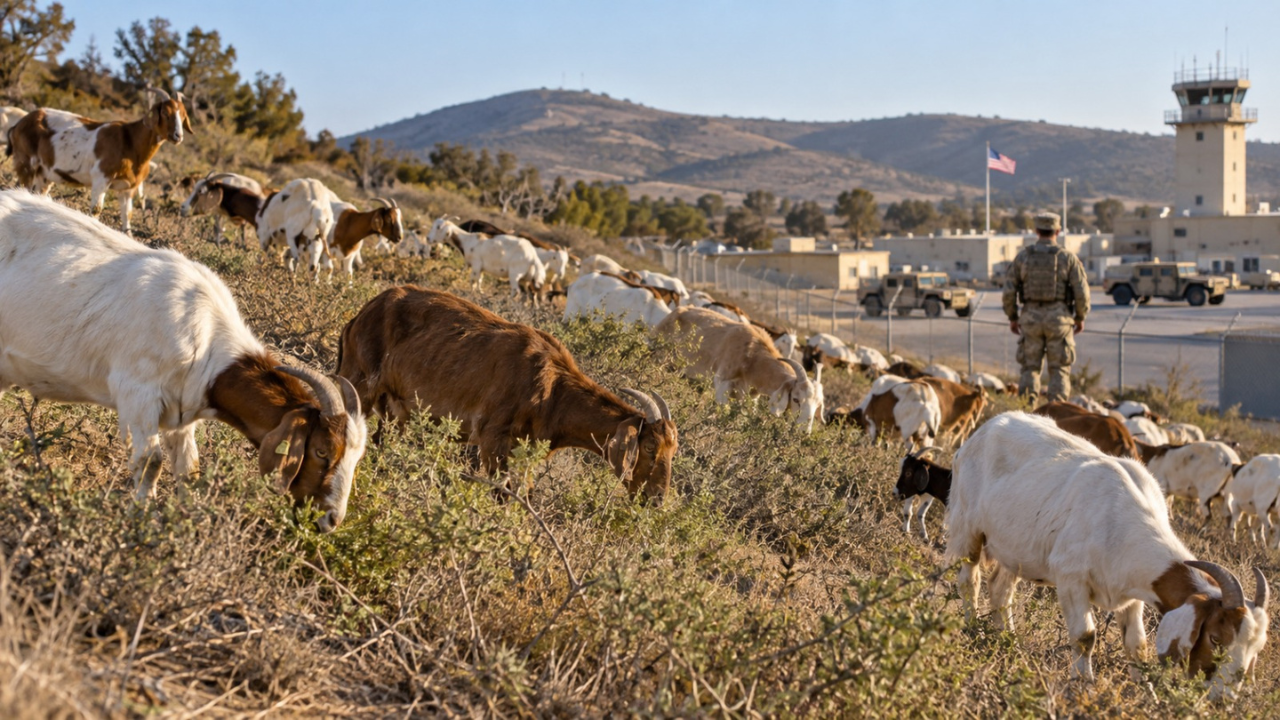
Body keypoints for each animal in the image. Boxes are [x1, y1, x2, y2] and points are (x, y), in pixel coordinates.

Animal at [0, 190, 366, 531]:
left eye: (354, 458)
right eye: (322, 451)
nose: (331, 520)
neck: (206, 341)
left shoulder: (182, 412)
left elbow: (189, 470)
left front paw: (185, 523)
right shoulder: (137, 395)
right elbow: (151, 464)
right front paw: (138, 525)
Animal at [9, 87, 192, 234]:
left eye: (183, 116)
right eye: (165, 113)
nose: (178, 136)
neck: (131, 142)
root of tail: (20, 123)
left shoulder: (127, 189)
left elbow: (127, 216)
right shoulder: (101, 178)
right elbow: (96, 210)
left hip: (44, 174)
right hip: (25, 162)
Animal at [336, 285, 678, 499]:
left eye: (672, 451)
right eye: (649, 447)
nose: (656, 499)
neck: (554, 391)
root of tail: (363, 313)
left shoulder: (525, 454)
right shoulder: (492, 440)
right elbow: (501, 493)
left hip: (395, 411)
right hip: (359, 383)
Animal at [657, 307, 823, 432]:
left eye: (817, 404)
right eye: (796, 399)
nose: (803, 431)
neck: (753, 356)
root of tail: (675, 312)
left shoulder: (750, 396)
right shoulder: (722, 384)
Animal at [948, 412, 1268, 697]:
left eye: (1255, 648)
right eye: (1215, 638)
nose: (1223, 696)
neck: (1122, 520)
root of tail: (986, 428)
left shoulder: (1133, 592)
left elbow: (1137, 645)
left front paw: (1147, 693)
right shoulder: (1071, 579)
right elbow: (1085, 637)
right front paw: (1084, 686)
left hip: (1015, 549)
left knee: (1001, 589)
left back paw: (1008, 641)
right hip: (966, 525)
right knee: (970, 580)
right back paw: (974, 631)